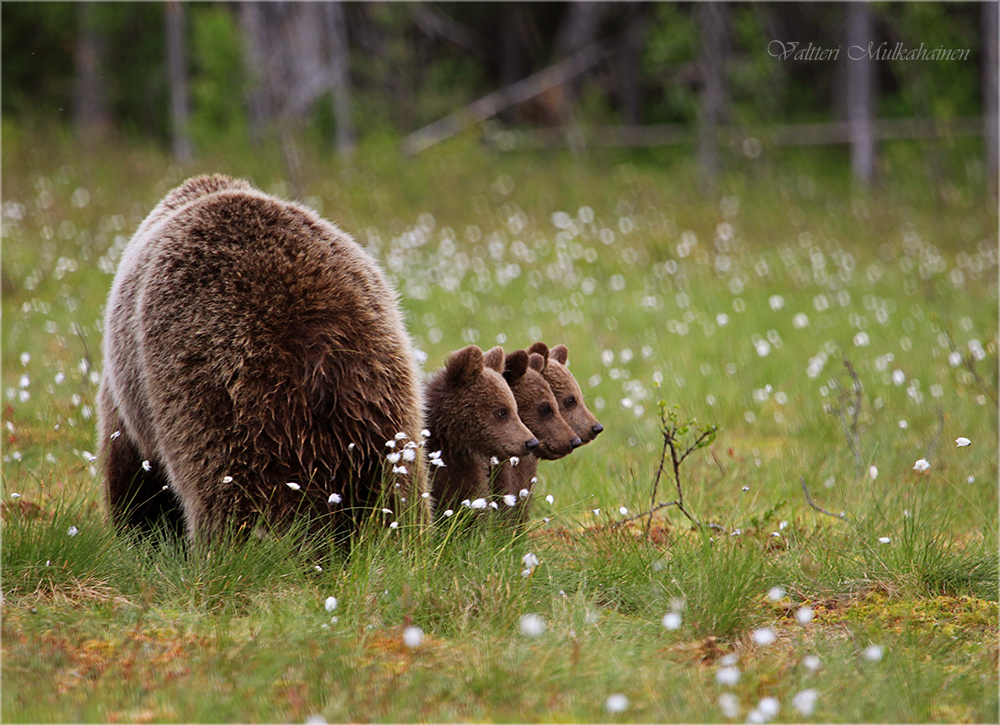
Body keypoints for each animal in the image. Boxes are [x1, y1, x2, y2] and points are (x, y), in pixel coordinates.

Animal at [100, 174, 426, 536]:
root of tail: (319, 346)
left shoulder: (130, 389)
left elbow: (131, 467)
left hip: (228, 392)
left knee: (231, 490)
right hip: (378, 391)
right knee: (396, 486)